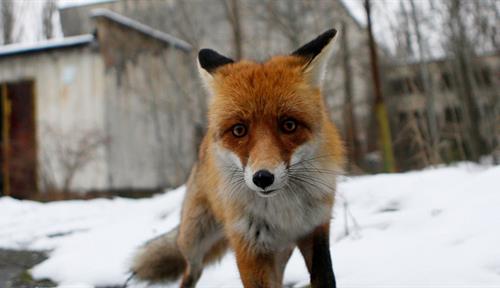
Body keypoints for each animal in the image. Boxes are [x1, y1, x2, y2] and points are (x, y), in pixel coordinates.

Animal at [131, 29, 346, 288]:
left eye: (289, 125)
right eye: (239, 130)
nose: (263, 178)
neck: (282, 212)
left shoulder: (315, 229)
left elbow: (325, 277)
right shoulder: (248, 246)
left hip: (280, 251)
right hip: (194, 240)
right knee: (191, 270)